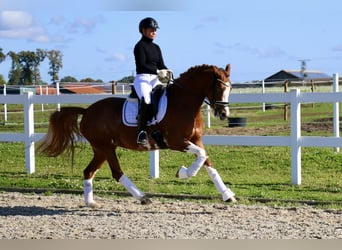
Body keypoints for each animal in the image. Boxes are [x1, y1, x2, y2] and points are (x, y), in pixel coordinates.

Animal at [37, 64, 235, 205]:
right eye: (219, 88)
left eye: (231, 88)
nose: (223, 114)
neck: (183, 102)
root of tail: (87, 111)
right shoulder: (176, 141)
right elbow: (201, 156)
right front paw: (183, 173)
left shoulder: (195, 140)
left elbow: (206, 160)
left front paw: (227, 195)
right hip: (106, 147)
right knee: (117, 172)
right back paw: (142, 197)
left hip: (101, 149)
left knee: (89, 171)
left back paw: (90, 203)